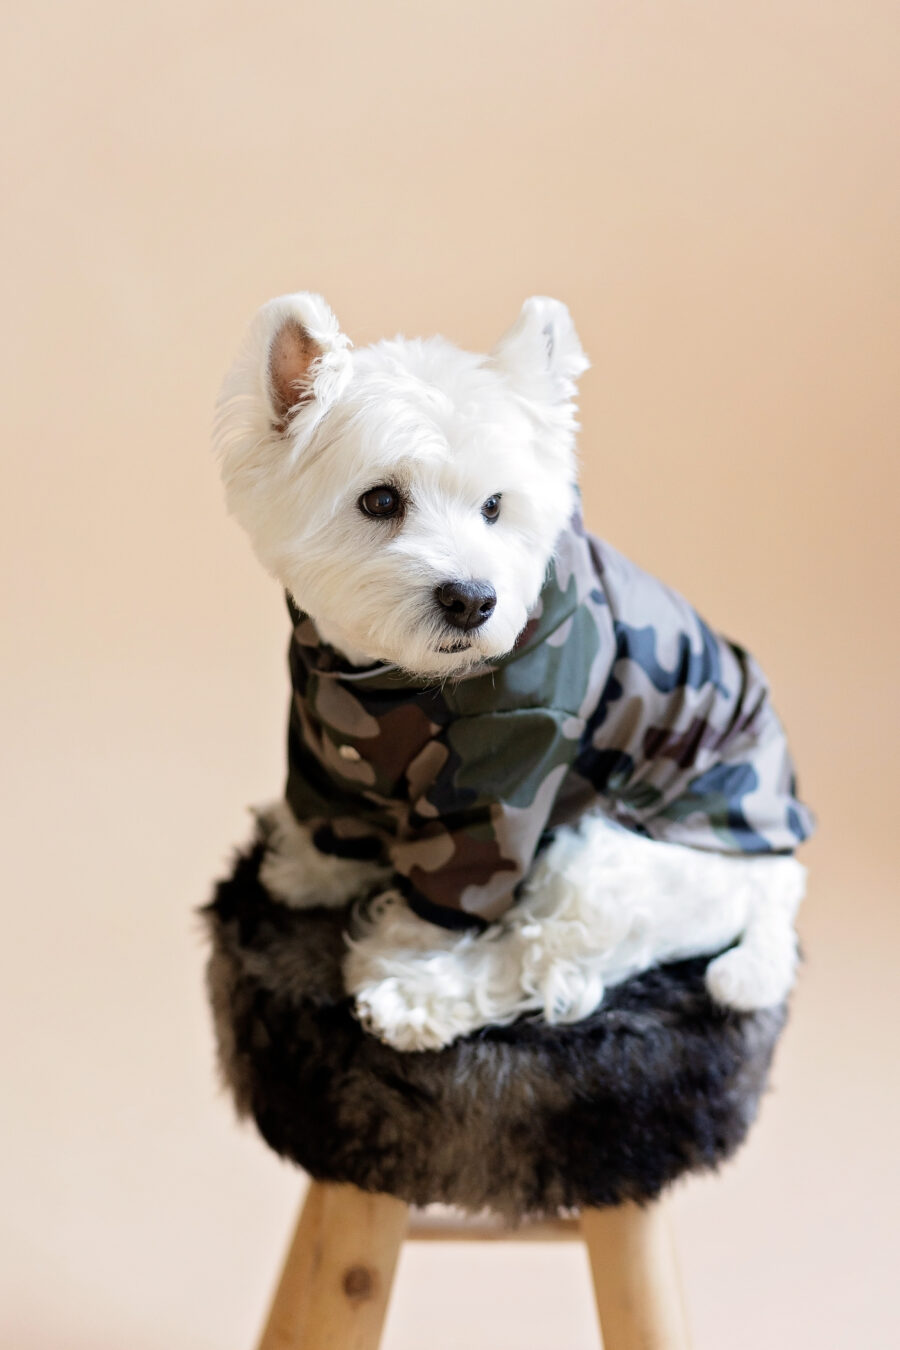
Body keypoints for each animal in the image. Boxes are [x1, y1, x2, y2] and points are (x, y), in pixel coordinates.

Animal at [214, 292, 814, 1053]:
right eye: (380, 500)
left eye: (495, 506)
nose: (472, 600)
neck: (387, 681)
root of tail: (778, 877)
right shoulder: (320, 732)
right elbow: (330, 812)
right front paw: (309, 868)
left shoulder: (507, 764)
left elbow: (453, 892)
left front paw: (408, 968)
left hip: (610, 866)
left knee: (546, 960)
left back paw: (418, 1000)